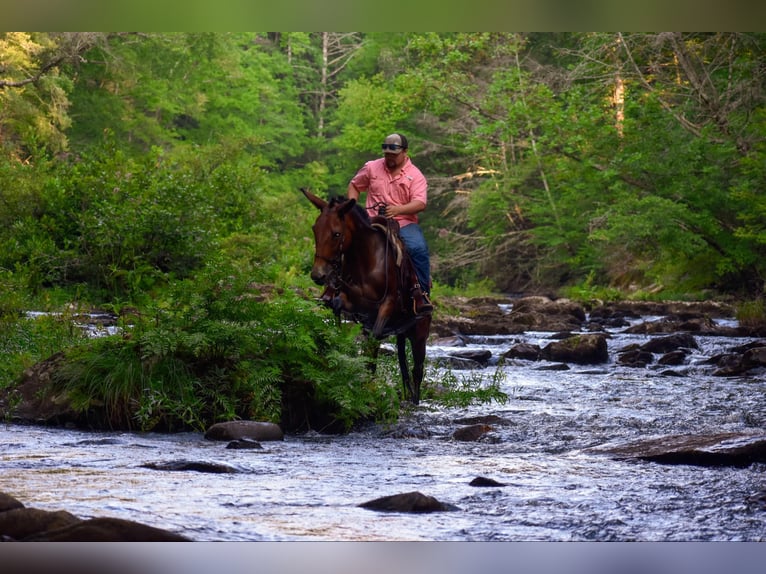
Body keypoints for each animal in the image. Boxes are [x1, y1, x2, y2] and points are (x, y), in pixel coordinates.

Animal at [302, 189, 432, 404]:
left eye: (336, 233)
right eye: (314, 229)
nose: (318, 275)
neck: (366, 261)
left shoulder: (387, 304)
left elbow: (373, 340)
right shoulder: (353, 303)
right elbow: (339, 306)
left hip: (420, 335)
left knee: (417, 371)